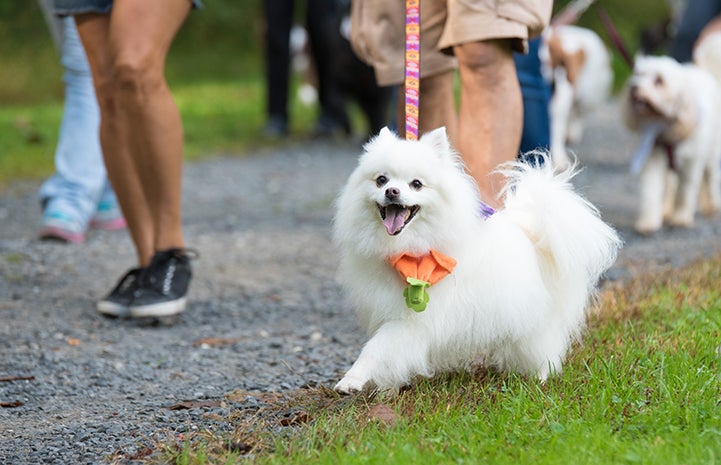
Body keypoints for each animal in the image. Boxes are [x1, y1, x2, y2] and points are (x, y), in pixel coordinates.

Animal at [332, 127, 620, 392]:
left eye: (416, 184)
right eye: (381, 180)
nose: (391, 191)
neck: (405, 249)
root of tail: (532, 235)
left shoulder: (412, 320)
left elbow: (376, 348)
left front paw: (351, 380)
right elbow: (388, 354)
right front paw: (388, 387)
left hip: (533, 323)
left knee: (544, 351)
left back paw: (540, 380)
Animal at [540, 24, 612, 170]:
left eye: (546, 62)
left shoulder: (559, 104)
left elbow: (555, 131)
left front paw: (558, 160)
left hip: (589, 94)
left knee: (578, 111)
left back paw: (573, 132)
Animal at [620, 54, 720, 236]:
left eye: (659, 81)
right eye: (638, 74)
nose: (634, 87)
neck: (665, 127)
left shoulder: (691, 164)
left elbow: (685, 191)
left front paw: (680, 217)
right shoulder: (653, 158)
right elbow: (650, 191)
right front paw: (648, 221)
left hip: (711, 153)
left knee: (709, 178)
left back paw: (711, 205)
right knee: (669, 185)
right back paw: (666, 210)